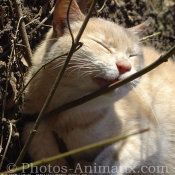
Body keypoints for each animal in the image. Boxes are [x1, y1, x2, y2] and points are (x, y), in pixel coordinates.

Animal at [22, 0, 175, 175]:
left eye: (132, 55)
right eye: (103, 45)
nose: (125, 66)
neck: (71, 119)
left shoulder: (146, 135)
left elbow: (110, 159)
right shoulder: (39, 142)